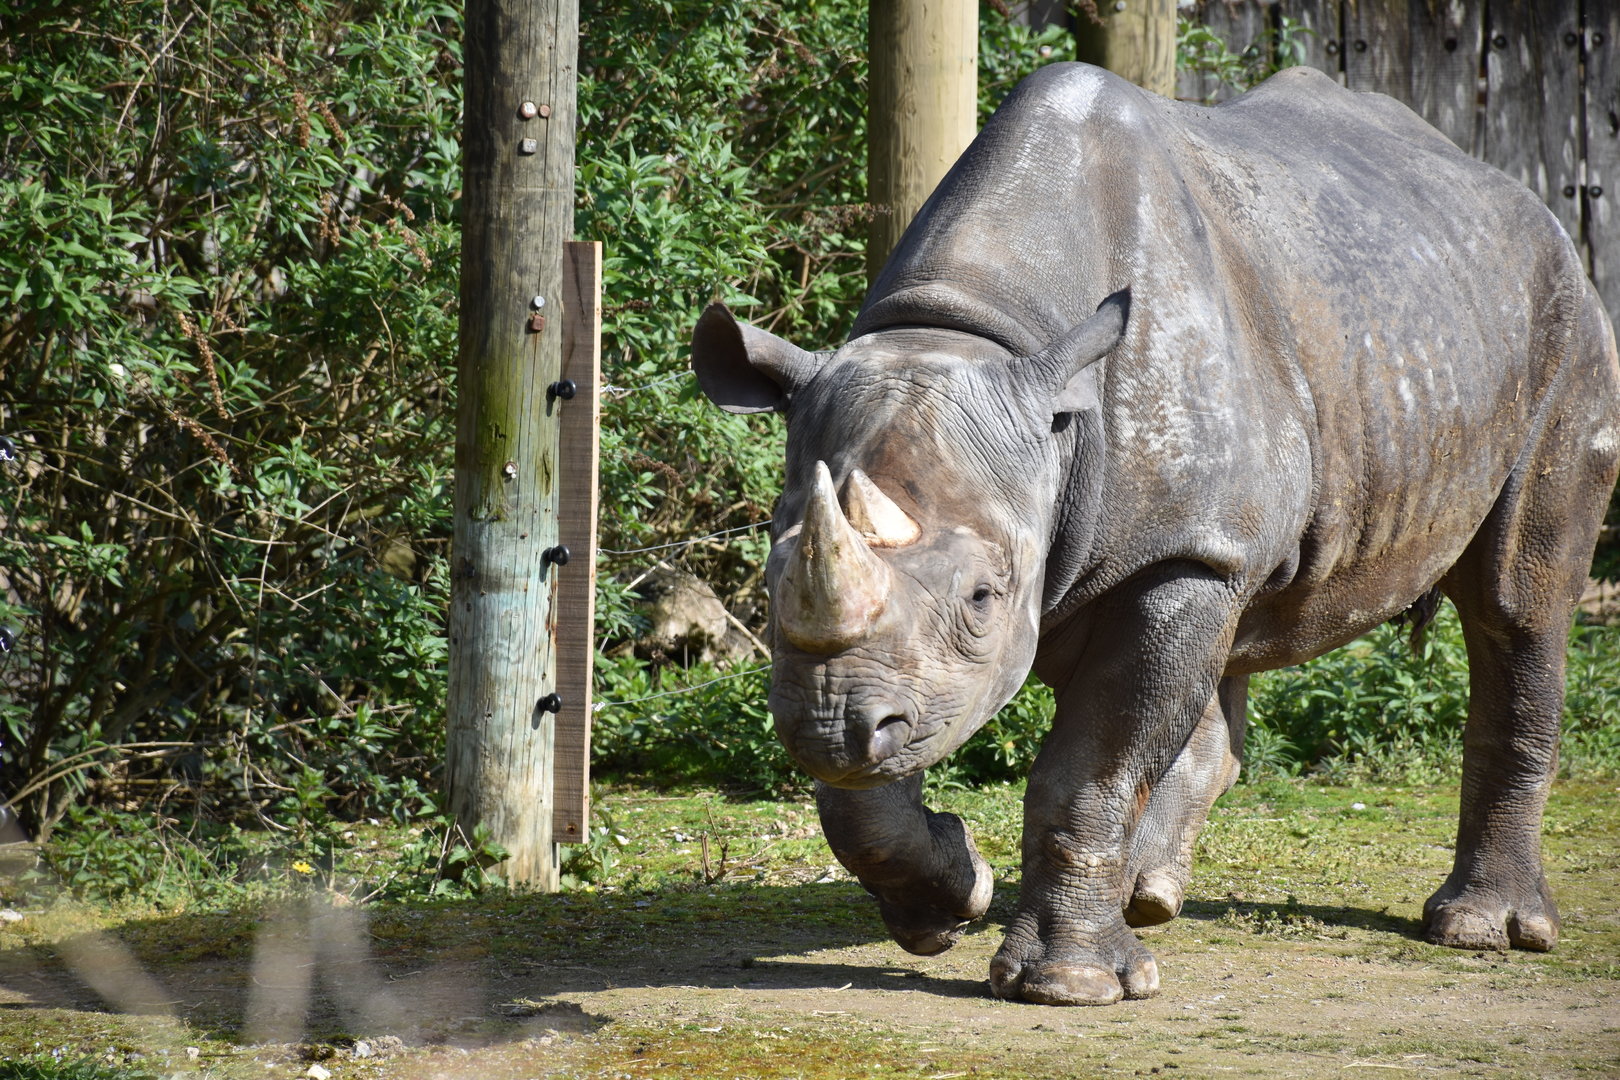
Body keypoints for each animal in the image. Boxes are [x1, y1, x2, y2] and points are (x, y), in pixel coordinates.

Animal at [690, 62, 1620, 1006]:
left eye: (985, 597)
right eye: (767, 586)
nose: (827, 723)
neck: (975, 331)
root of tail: (1525, 202)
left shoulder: (1180, 551)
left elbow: (1093, 765)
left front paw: (1068, 985)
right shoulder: (910, 652)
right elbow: (864, 784)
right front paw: (951, 898)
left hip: (1562, 323)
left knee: (1517, 602)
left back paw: (1483, 932)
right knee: (1235, 639)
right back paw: (1148, 898)